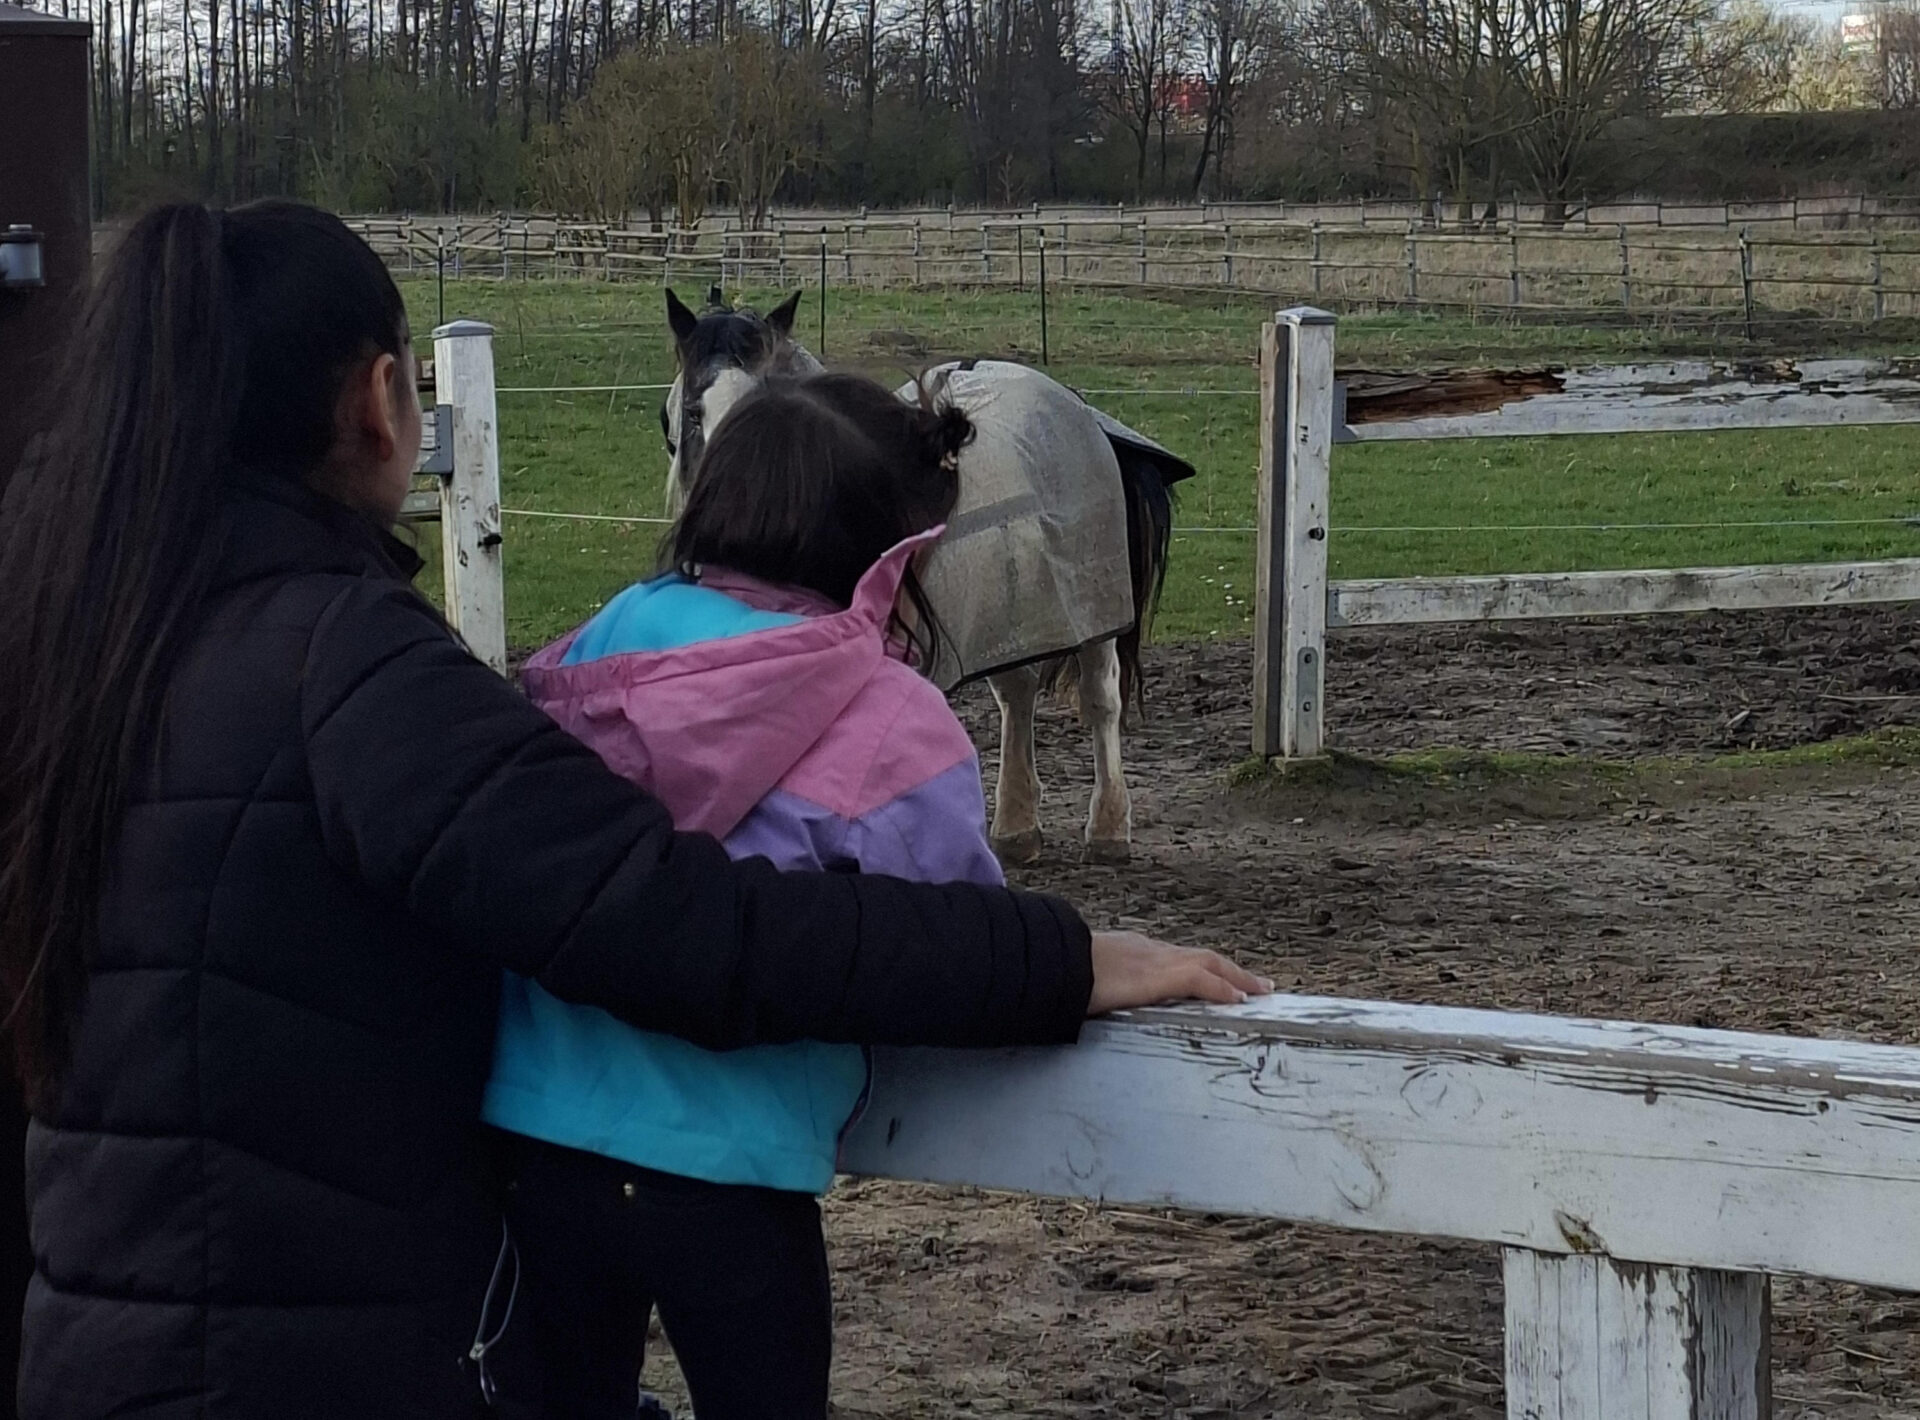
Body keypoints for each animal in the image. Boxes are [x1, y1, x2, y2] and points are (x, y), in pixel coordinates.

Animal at [659, 287, 1193, 865]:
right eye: (686, 414)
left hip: (1093, 608)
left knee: (1099, 700)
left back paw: (1108, 829)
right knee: (1017, 693)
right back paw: (1016, 828)